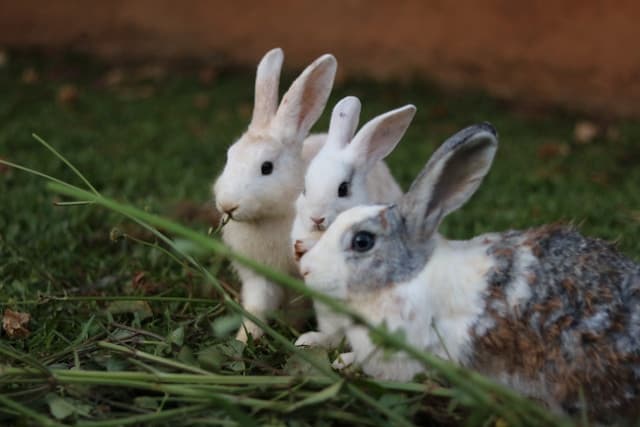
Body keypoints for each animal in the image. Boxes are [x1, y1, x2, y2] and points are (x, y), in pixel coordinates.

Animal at [213, 48, 337, 342]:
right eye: (229, 156)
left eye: (266, 167)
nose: (227, 205)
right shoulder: (258, 276)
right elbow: (257, 306)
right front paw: (244, 338)